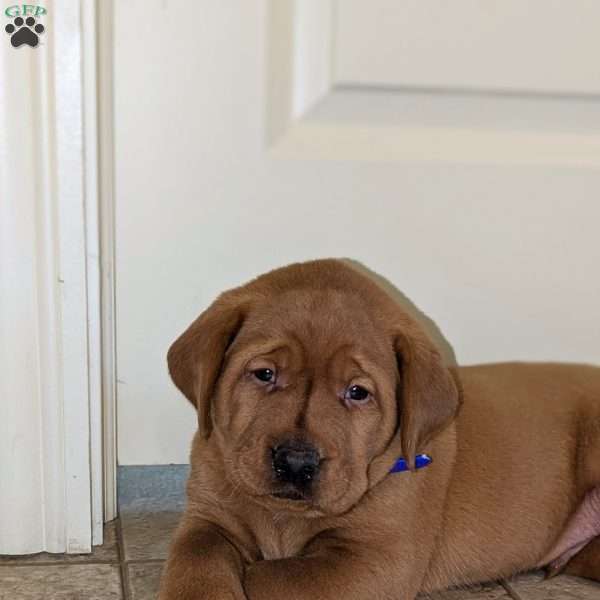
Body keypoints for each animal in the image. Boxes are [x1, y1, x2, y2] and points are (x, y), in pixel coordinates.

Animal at [159, 258, 600, 600]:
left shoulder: (375, 559)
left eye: (358, 392)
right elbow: (195, 562)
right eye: (265, 374)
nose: (296, 463)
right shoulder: (207, 518)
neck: (283, 517)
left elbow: (267, 577)